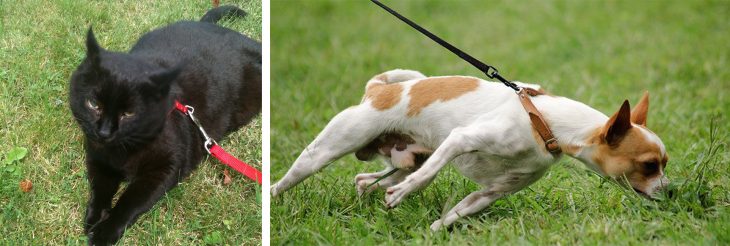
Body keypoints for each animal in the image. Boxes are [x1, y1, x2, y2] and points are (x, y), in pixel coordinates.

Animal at [68, 5, 260, 244]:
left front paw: (105, 232)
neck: (122, 152)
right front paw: (94, 218)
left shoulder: (165, 168)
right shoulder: (97, 158)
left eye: (128, 113)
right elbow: (99, 188)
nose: (104, 132)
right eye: (93, 104)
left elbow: (130, 201)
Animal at [272, 68, 664, 231]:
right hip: (325, 151)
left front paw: (431, 233)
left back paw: (367, 195)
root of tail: (378, 89)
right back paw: (276, 201)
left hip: (406, 159)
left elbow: (453, 216)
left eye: (664, 164)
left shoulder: (491, 192)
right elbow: (429, 177)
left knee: (366, 179)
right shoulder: (461, 139)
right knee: (286, 181)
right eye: (649, 165)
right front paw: (406, 197)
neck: (544, 121)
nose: (671, 192)